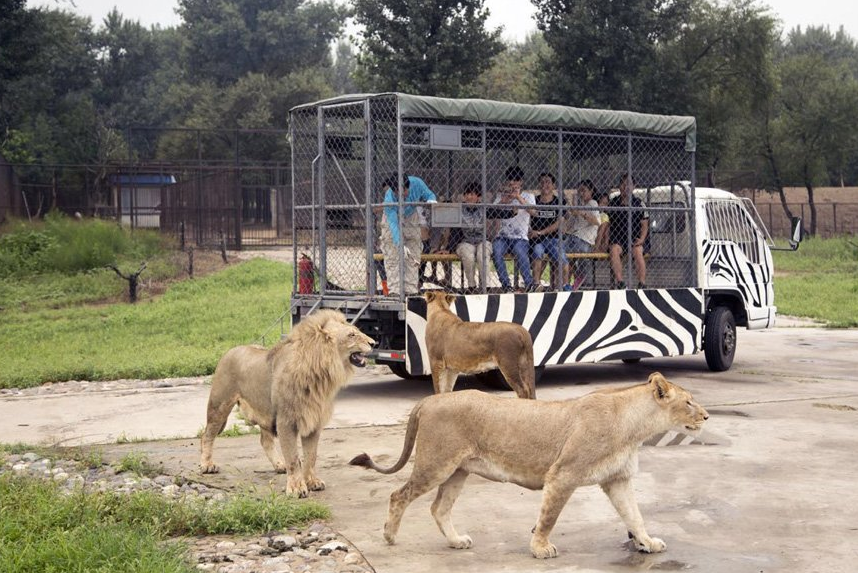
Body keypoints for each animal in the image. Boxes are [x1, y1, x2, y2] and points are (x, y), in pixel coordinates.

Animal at [202, 308, 376, 496]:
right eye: (352, 335)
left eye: (357, 331)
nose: (374, 343)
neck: (321, 374)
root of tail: (230, 351)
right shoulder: (286, 421)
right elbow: (293, 457)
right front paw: (297, 488)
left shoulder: (314, 422)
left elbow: (311, 456)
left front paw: (312, 481)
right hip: (219, 406)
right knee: (207, 435)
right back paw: (207, 465)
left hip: (264, 412)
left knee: (265, 441)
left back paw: (279, 465)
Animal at [348, 374, 704, 556]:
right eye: (688, 402)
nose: (706, 416)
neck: (634, 427)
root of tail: (429, 400)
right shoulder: (563, 474)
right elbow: (549, 516)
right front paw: (540, 547)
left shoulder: (617, 480)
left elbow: (635, 516)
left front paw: (647, 542)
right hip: (435, 464)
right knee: (399, 495)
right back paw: (390, 536)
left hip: (457, 471)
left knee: (439, 508)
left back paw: (456, 541)